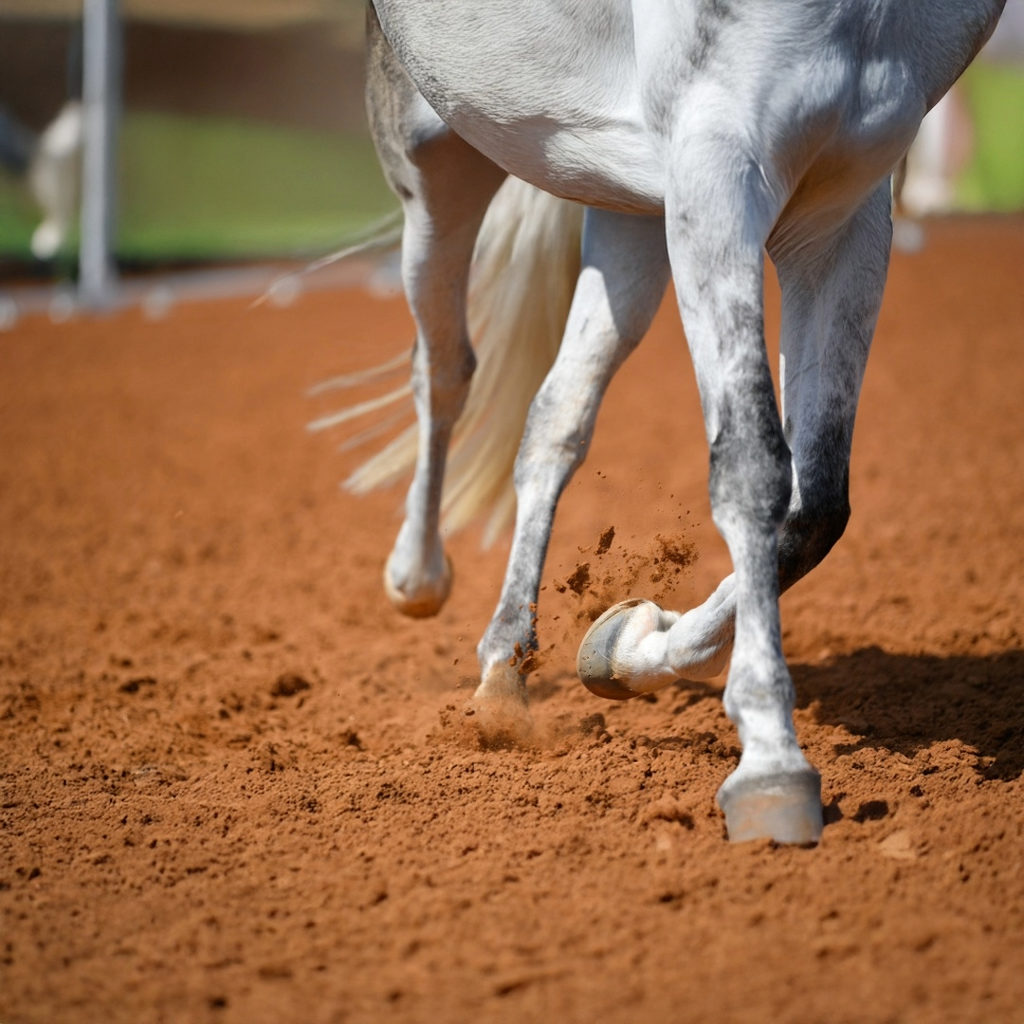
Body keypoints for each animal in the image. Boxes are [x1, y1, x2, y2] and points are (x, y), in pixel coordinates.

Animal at [329, 0, 1007, 843]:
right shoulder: (717, 170)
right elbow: (752, 466)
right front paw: (772, 765)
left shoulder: (846, 210)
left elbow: (817, 507)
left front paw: (626, 646)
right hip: (435, 159)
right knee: (445, 368)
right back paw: (418, 578)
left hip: (624, 208)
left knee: (555, 415)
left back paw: (503, 671)